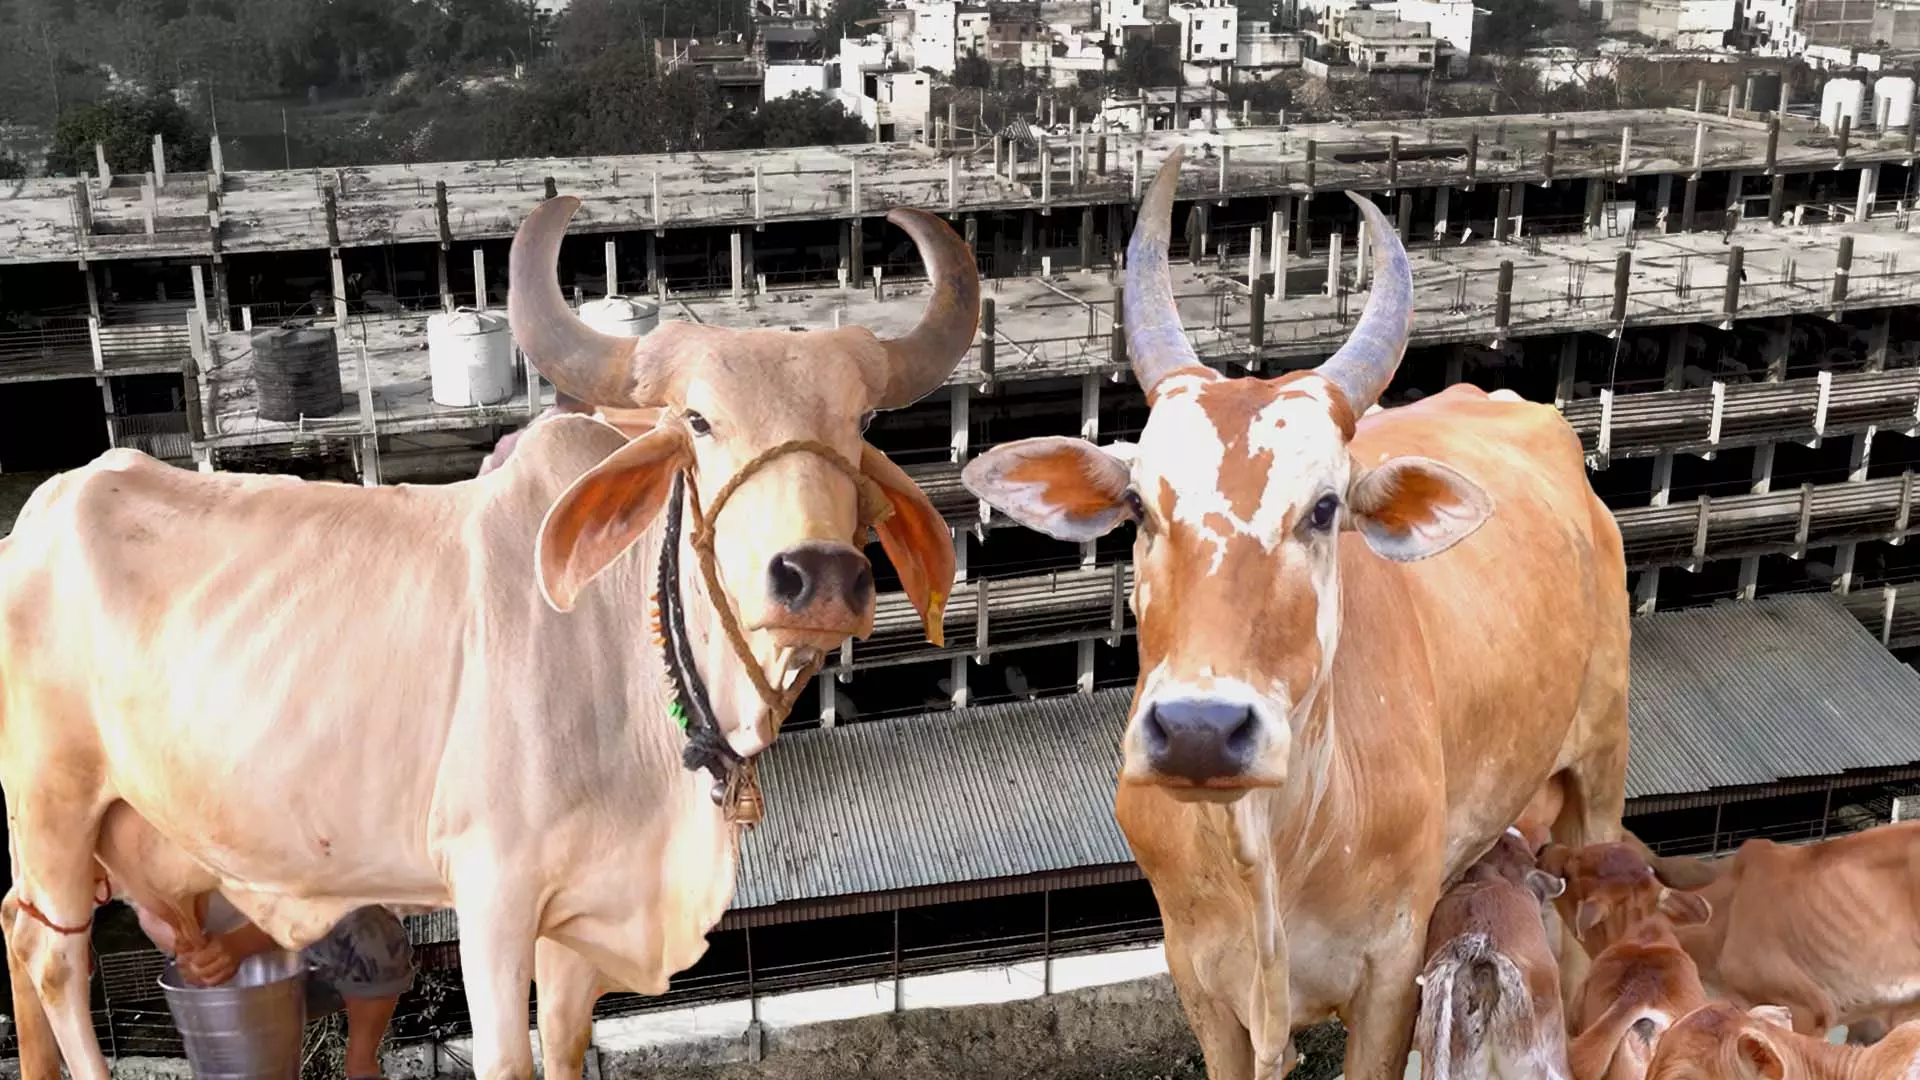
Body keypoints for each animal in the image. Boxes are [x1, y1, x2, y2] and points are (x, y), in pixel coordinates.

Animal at [0, 194, 978, 1080]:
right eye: (698, 423)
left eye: (861, 423)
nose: (818, 576)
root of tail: (38, 515)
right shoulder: (495, 898)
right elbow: (510, 1058)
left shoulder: (579, 926)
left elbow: (568, 1051)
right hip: (51, 807)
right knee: (53, 956)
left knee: (18, 929)